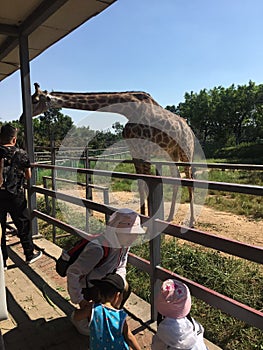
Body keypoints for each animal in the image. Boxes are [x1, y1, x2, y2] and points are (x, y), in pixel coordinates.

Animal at [29, 82, 197, 226]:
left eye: (35, 100)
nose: (24, 115)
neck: (128, 109)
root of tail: (188, 127)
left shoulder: (144, 149)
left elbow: (147, 183)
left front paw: (148, 220)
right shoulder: (135, 150)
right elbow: (141, 184)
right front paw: (141, 219)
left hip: (186, 150)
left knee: (189, 178)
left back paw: (192, 221)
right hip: (171, 152)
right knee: (177, 178)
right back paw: (169, 217)